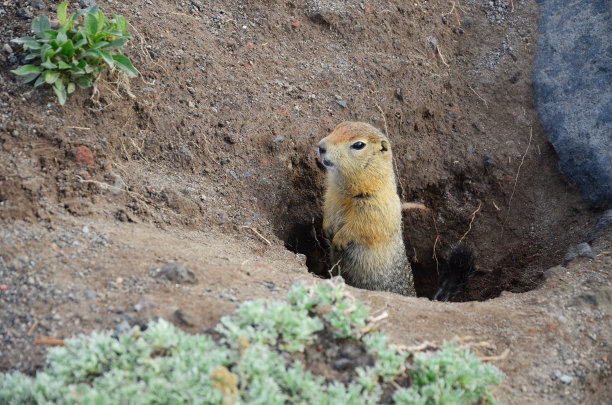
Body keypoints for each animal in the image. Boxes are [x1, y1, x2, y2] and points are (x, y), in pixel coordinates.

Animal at [320, 121, 416, 296]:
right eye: (338, 126)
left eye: (358, 145)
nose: (321, 146)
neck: (347, 193)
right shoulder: (331, 195)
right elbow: (328, 209)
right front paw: (327, 228)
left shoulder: (375, 205)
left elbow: (364, 226)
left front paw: (339, 239)